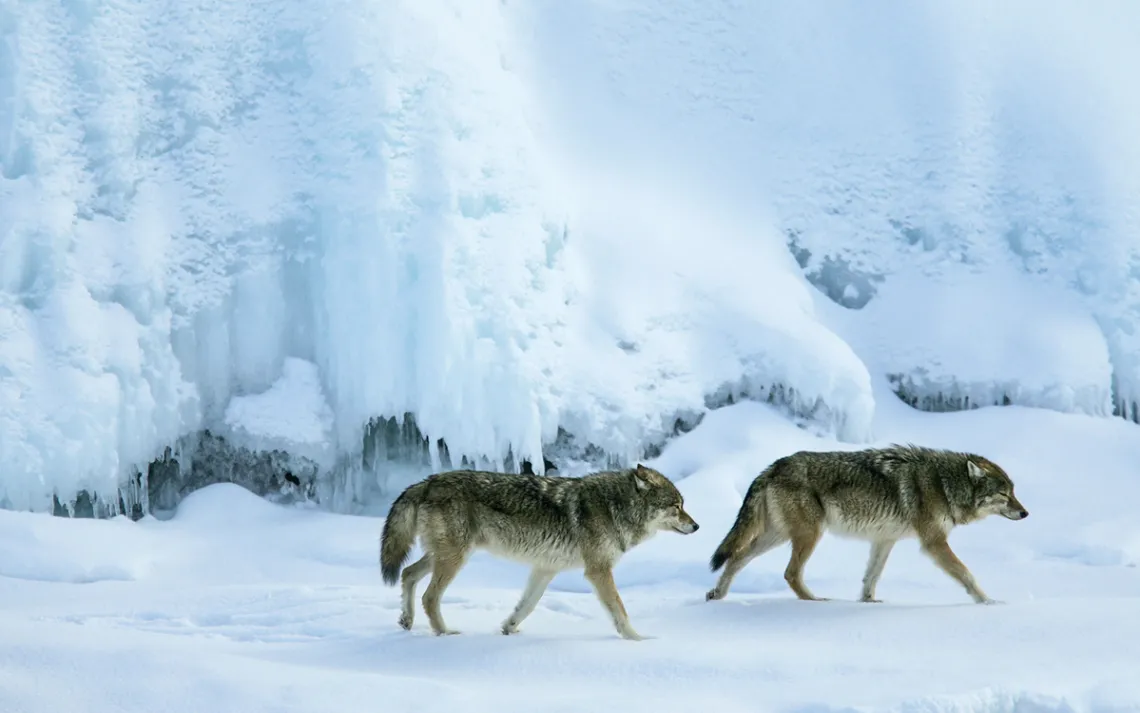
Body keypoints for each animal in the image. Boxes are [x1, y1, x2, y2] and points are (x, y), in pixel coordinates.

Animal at [380, 464, 699, 640]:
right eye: (676, 506)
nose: (696, 526)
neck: (614, 507)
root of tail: (426, 482)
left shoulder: (546, 568)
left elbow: (527, 606)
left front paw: (508, 629)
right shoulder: (598, 571)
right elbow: (620, 610)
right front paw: (638, 639)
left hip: (444, 556)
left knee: (407, 574)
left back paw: (406, 621)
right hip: (455, 558)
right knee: (429, 596)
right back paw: (444, 634)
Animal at [705, 444, 1028, 604]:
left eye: (1014, 492)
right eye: (1004, 495)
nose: (1026, 513)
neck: (943, 484)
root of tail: (772, 466)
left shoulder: (885, 540)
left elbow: (871, 577)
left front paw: (868, 604)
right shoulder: (934, 543)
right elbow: (966, 574)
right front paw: (988, 602)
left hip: (777, 536)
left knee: (735, 558)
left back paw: (717, 595)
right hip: (809, 534)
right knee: (790, 573)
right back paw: (815, 601)